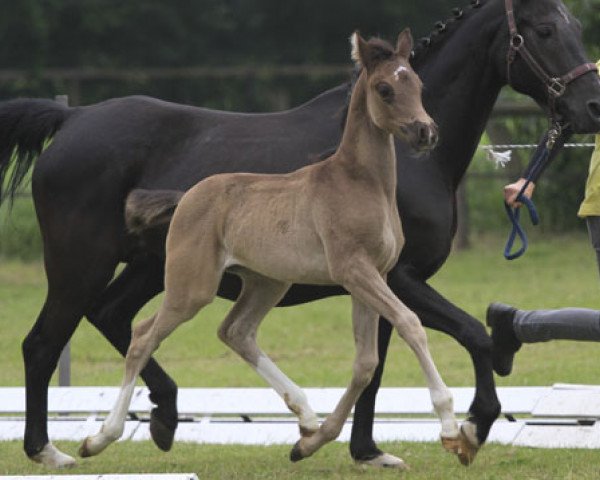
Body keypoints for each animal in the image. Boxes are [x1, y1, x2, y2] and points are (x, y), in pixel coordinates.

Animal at [81, 29, 474, 464]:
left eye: (418, 85)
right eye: (385, 89)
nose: (426, 132)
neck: (360, 183)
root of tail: (185, 197)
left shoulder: (375, 276)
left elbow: (365, 362)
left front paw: (311, 443)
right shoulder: (354, 270)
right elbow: (410, 324)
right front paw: (452, 431)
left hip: (266, 282)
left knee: (236, 332)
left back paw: (306, 417)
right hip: (191, 288)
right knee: (142, 337)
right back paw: (98, 438)